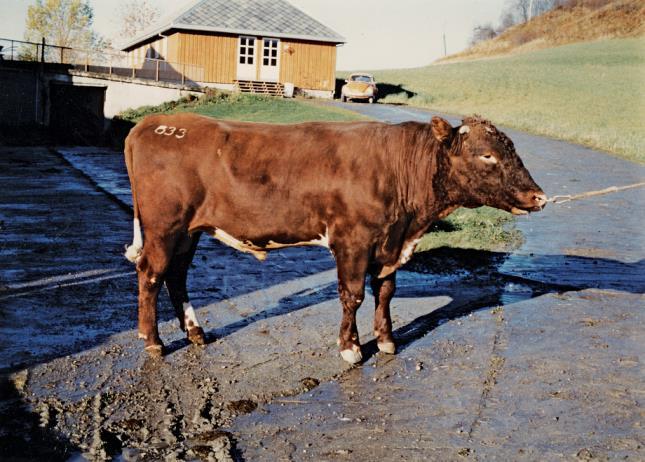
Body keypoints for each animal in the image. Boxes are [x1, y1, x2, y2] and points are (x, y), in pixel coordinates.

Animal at [122, 113, 544, 362]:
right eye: (486, 155)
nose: (538, 196)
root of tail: (154, 122)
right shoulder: (352, 241)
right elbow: (353, 295)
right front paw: (351, 347)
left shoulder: (389, 245)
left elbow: (385, 292)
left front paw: (386, 340)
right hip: (164, 226)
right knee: (151, 274)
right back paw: (154, 341)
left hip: (187, 231)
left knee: (176, 276)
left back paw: (195, 332)